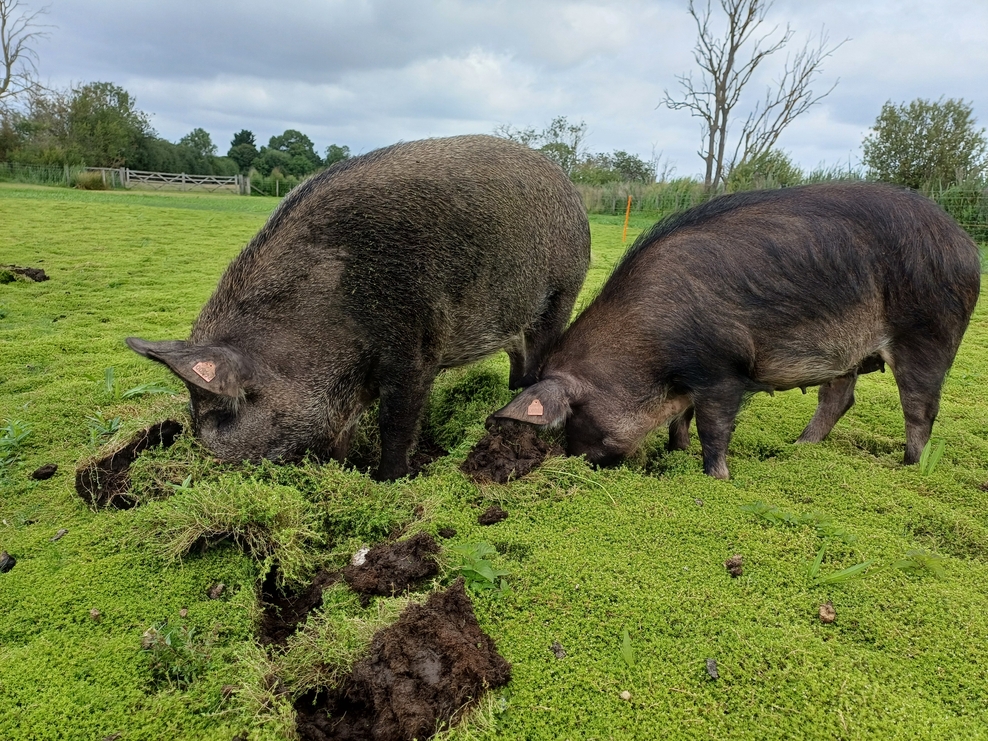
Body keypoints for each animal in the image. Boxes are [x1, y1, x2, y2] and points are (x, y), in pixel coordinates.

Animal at [127, 135, 590, 480]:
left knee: (539, 354)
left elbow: (396, 420)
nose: (211, 456)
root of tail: (571, 188)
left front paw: (387, 480)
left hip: (562, 291)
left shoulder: (414, 343)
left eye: (224, 415)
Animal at [493, 183, 981, 479]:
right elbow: (682, 419)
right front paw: (677, 452)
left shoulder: (722, 372)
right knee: (840, 399)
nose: (584, 464)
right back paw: (797, 447)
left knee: (920, 408)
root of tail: (966, 244)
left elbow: (714, 429)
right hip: (849, 353)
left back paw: (908, 467)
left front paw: (717, 477)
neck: (645, 347)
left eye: (576, 415)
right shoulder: (689, 382)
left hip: (930, 333)